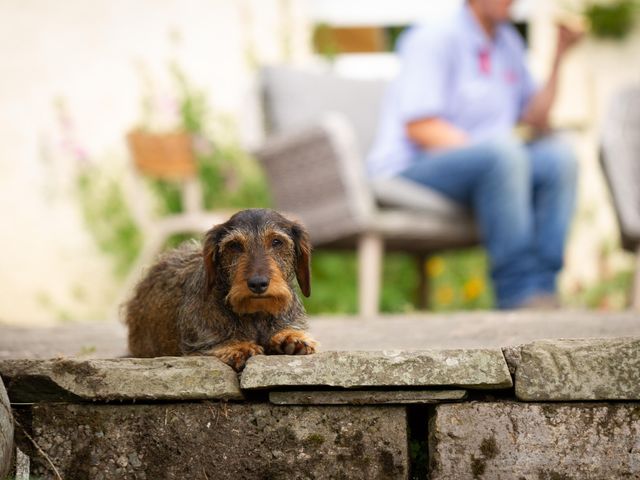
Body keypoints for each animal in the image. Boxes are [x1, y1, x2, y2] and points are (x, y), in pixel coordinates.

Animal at [124, 208, 318, 370]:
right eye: (234, 245)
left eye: (277, 242)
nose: (257, 283)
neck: (255, 315)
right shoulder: (196, 347)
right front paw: (238, 347)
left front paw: (290, 338)